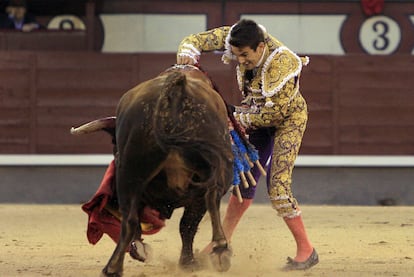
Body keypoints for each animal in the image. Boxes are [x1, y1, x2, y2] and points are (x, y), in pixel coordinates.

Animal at [70, 66, 234, 274]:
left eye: (114, 143)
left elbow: (185, 225)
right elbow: (187, 225)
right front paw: (188, 262)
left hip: (129, 175)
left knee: (129, 220)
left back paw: (113, 267)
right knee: (211, 197)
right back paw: (220, 250)